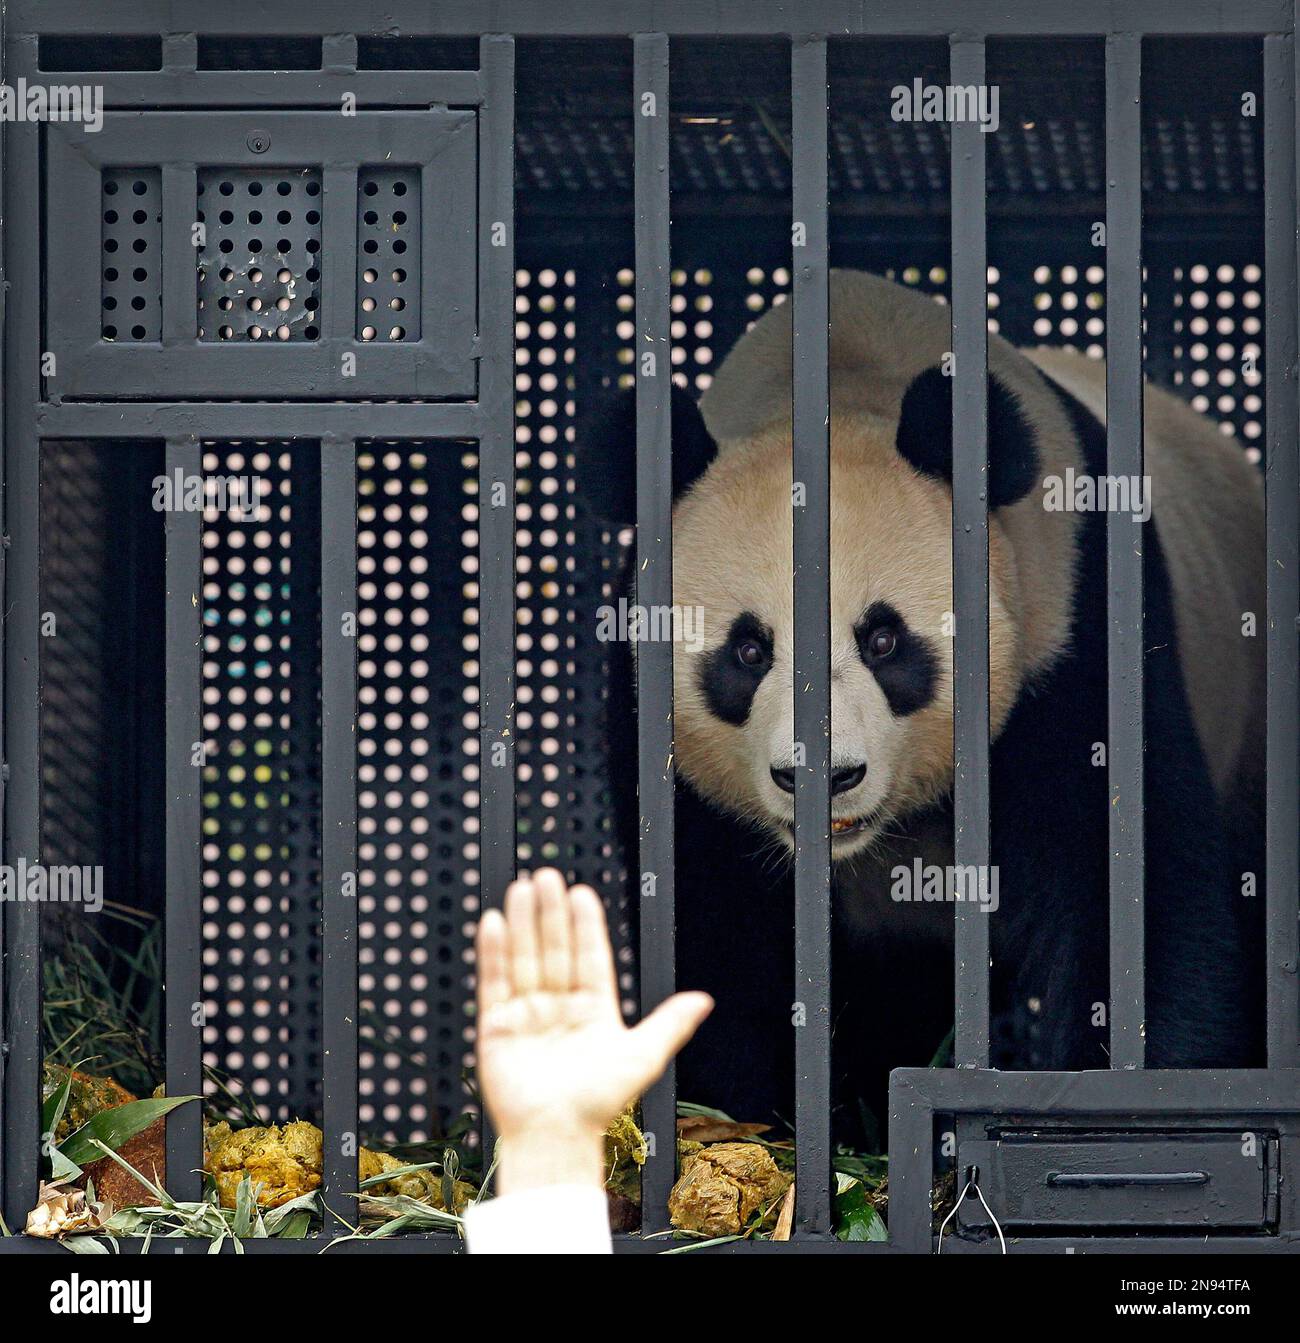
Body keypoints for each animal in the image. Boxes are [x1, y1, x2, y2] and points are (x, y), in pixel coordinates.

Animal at [585, 269, 1265, 1141]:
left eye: (883, 640)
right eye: (747, 651)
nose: (824, 776)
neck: (842, 376)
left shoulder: (1078, 634)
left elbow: (1139, 888)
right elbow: (714, 939)